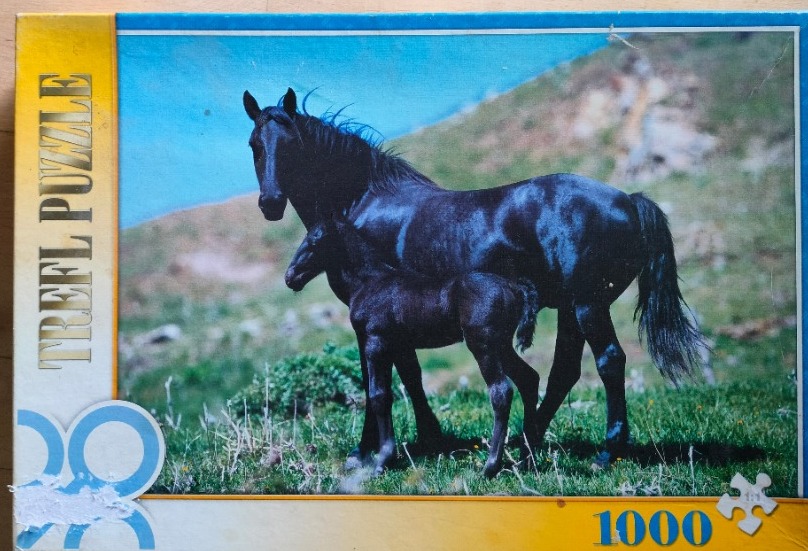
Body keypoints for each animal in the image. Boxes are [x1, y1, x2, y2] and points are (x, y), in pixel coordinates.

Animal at [285, 217, 541, 477]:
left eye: (315, 240)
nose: (290, 276)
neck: (370, 282)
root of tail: (514, 287)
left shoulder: (376, 343)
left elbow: (378, 395)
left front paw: (382, 460)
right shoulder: (397, 346)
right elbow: (395, 389)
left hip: (483, 344)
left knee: (501, 391)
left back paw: (490, 467)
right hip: (501, 345)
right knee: (529, 379)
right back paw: (526, 458)